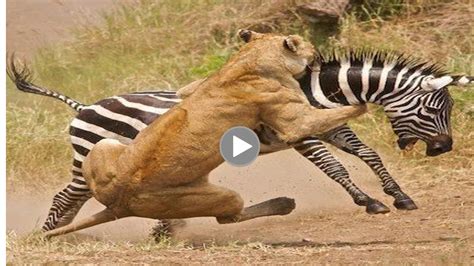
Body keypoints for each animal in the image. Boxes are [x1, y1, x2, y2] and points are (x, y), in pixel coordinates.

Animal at [5, 50, 472, 233]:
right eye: (434, 109)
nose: (445, 148)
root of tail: (83, 105)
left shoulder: (330, 127)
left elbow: (367, 154)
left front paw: (400, 196)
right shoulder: (303, 135)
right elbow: (336, 167)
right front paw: (370, 202)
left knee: (74, 199)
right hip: (91, 162)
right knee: (66, 196)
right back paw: (48, 233)